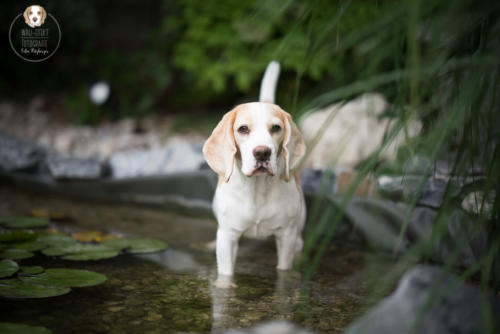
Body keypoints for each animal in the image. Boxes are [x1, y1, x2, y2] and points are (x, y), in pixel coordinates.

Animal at [202, 61, 304, 280]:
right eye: (243, 129)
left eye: (276, 128)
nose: (262, 153)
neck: (257, 188)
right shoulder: (228, 238)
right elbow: (226, 274)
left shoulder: (286, 237)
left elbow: (284, 269)